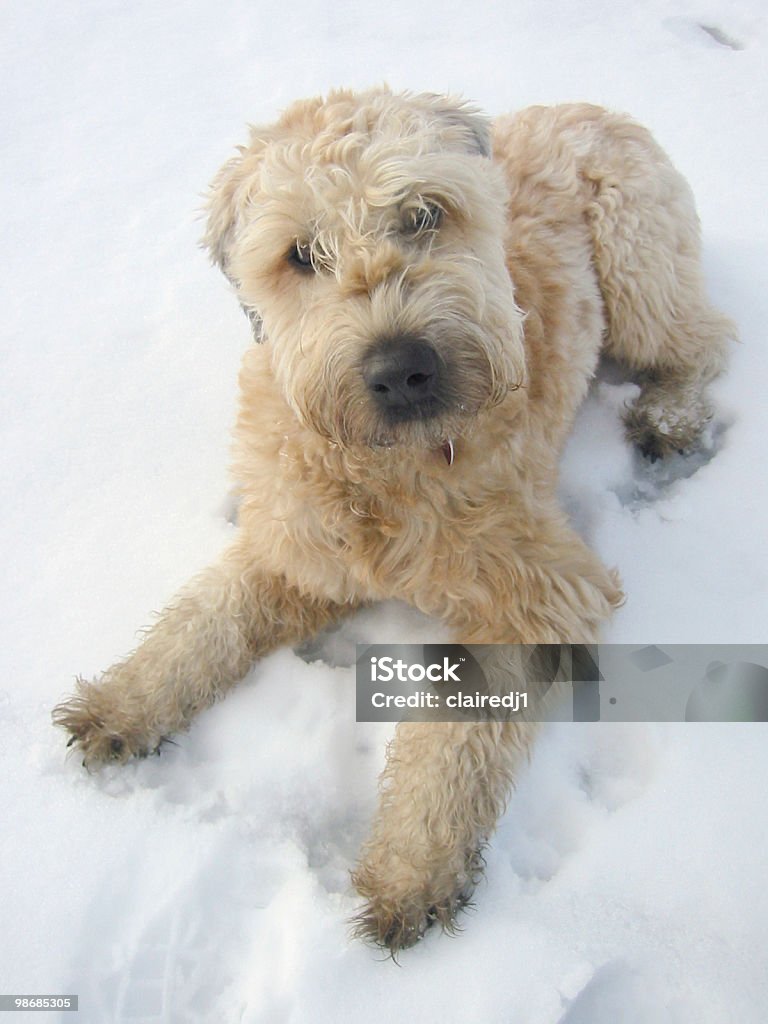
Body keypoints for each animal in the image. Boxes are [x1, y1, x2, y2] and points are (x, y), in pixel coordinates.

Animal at [54, 88, 733, 950]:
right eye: (300, 254)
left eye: (423, 213)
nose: (403, 369)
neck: (387, 474)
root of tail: (591, 105)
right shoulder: (296, 545)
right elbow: (203, 622)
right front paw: (121, 703)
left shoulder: (535, 590)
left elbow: (454, 742)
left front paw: (411, 870)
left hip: (640, 264)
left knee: (699, 341)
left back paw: (670, 416)